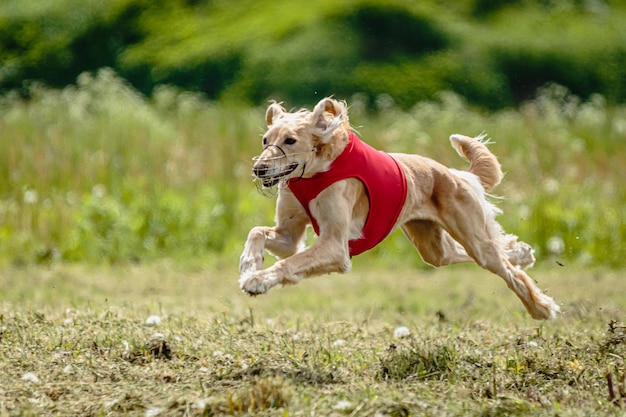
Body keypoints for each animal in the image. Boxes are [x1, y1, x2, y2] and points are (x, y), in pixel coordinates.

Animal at [240, 97, 560, 318]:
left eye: (290, 140)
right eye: (265, 140)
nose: (258, 169)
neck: (315, 173)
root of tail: (455, 174)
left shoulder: (335, 246)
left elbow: (289, 263)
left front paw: (257, 280)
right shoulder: (289, 237)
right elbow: (258, 232)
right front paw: (249, 265)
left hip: (474, 239)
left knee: (510, 273)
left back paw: (542, 307)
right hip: (433, 247)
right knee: (465, 253)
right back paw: (521, 253)